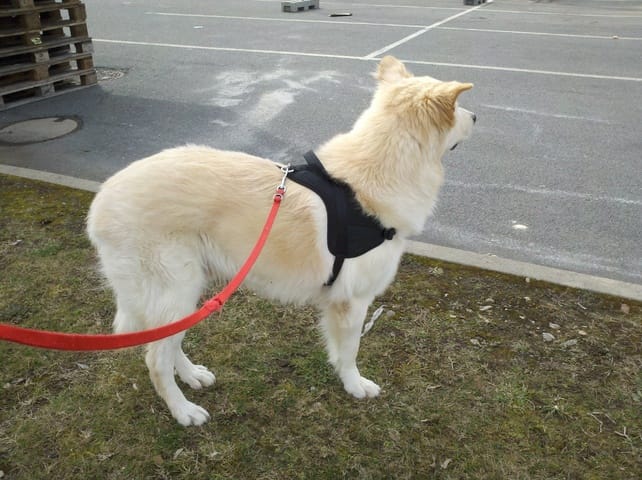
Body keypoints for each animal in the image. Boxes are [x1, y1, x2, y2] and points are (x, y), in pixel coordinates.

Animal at [86, 56, 475, 426]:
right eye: (459, 108)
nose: (475, 115)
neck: (377, 175)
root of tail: (102, 199)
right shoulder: (352, 302)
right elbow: (350, 351)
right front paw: (354, 385)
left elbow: (338, 350)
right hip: (175, 290)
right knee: (155, 360)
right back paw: (183, 410)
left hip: (183, 292)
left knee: (166, 343)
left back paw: (192, 375)